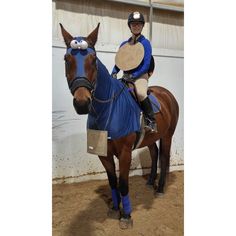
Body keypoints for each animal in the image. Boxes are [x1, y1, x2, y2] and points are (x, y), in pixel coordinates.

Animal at [59, 22, 179, 229]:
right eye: (67, 59)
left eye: (94, 59)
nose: (82, 103)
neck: (109, 109)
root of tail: (167, 94)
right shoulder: (104, 154)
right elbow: (112, 182)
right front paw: (115, 209)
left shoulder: (124, 153)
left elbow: (123, 183)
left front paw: (126, 216)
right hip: (151, 137)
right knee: (154, 153)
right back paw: (150, 182)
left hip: (167, 135)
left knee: (164, 157)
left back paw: (160, 189)